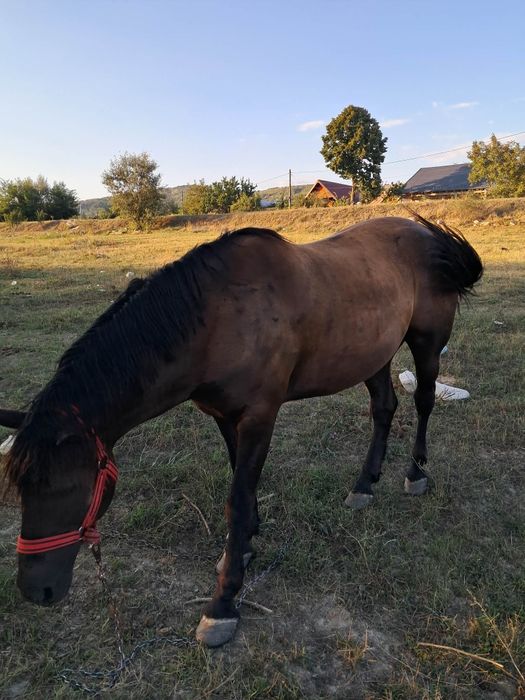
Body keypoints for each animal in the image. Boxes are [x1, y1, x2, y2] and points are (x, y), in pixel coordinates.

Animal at [0, 214, 482, 647]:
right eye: (22, 491)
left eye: (69, 487)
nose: (36, 591)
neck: (218, 319)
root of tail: (426, 235)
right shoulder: (224, 416)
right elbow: (242, 487)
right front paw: (245, 546)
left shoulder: (258, 417)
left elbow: (236, 497)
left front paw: (224, 602)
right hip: (372, 354)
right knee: (383, 409)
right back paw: (364, 484)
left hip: (426, 343)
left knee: (423, 402)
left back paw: (415, 473)